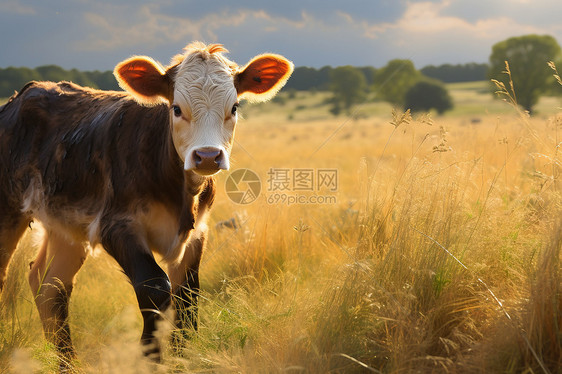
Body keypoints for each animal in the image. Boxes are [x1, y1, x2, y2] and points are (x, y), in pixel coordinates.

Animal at [0, 41, 290, 366]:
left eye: (234, 108)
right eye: (176, 108)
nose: (207, 156)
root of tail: (25, 93)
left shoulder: (197, 233)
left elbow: (187, 296)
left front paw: (180, 360)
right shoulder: (116, 224)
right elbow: (155, 287)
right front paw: (150, 356)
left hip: (67, 224)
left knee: (49, 286)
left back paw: (67, 364)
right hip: (8, 209)